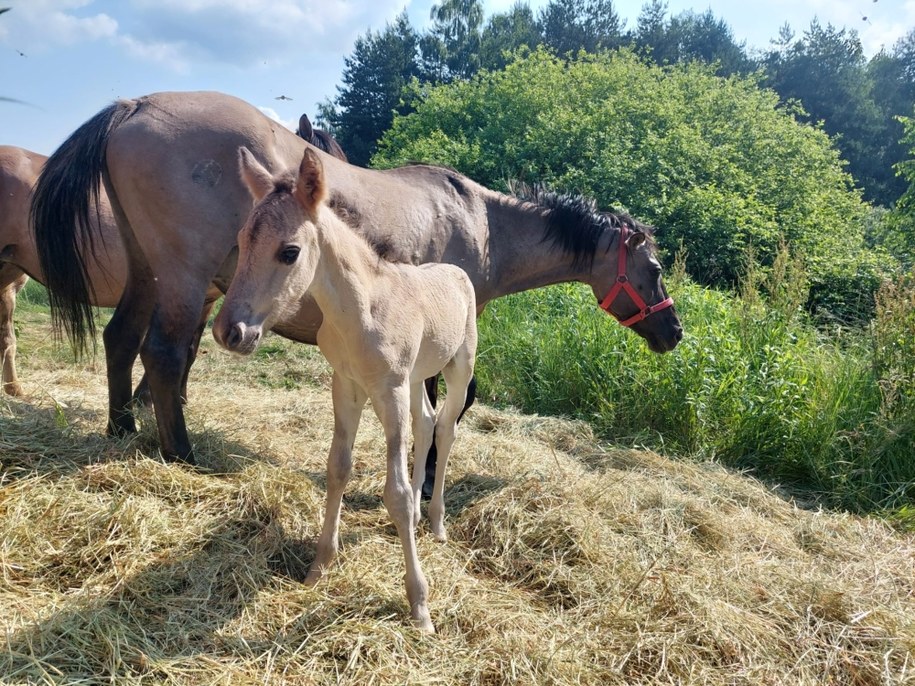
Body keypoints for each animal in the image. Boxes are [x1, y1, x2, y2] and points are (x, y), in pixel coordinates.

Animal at [32, 90, 684, 468]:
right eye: (654, 271)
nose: (674, 331)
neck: (482, 221)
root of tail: (134, 105)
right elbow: (449, 406)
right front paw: (426, 478)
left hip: (149, 273)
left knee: (121, 340)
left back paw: (121, 429)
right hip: (183, 278)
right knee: (164, 354)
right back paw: (183, 454)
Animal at [211, 146, 476, 636]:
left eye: (290, 252)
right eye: (241, 240)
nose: (229, 332)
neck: (361, 310)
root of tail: (456, 271)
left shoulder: (388, 389)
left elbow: (396, 492)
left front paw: (420, 605)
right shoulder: (346, 385)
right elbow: (337, 468)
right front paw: (319, 566)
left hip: (457, 367)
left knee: (445, 429)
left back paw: (435, 523)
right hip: (416, 377)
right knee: (427, 423)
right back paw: (419, 518)